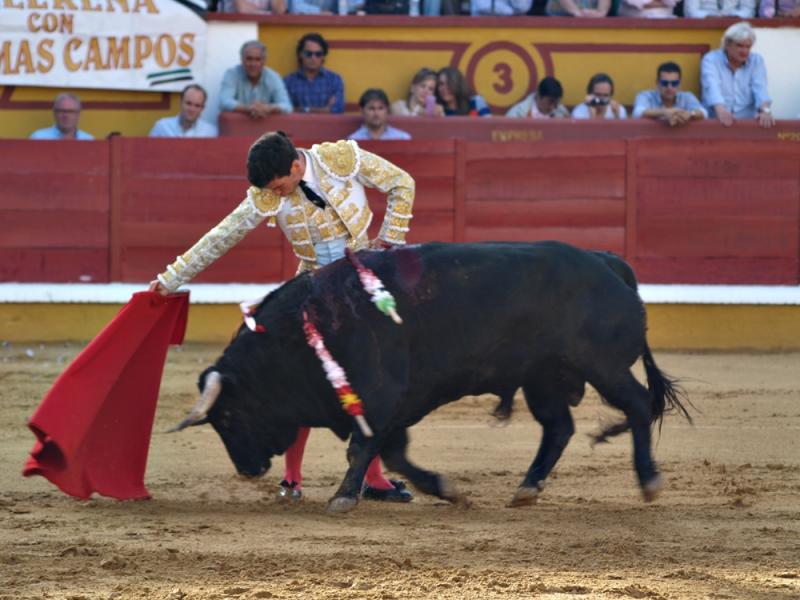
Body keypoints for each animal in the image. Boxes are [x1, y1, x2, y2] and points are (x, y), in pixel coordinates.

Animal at [178, 241, 692, 512]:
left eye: (227, 417)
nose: (248, 470)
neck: (304, 331)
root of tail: (608, 261)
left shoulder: (380, 395)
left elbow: (362, 448)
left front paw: (343, 498)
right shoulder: (395, 406)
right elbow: (393, 453)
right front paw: (441, 488)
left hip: (602, 367)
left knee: (636, 404)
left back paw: (649, 480)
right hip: (542, 377)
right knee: (559, 427)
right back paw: (527, 487)